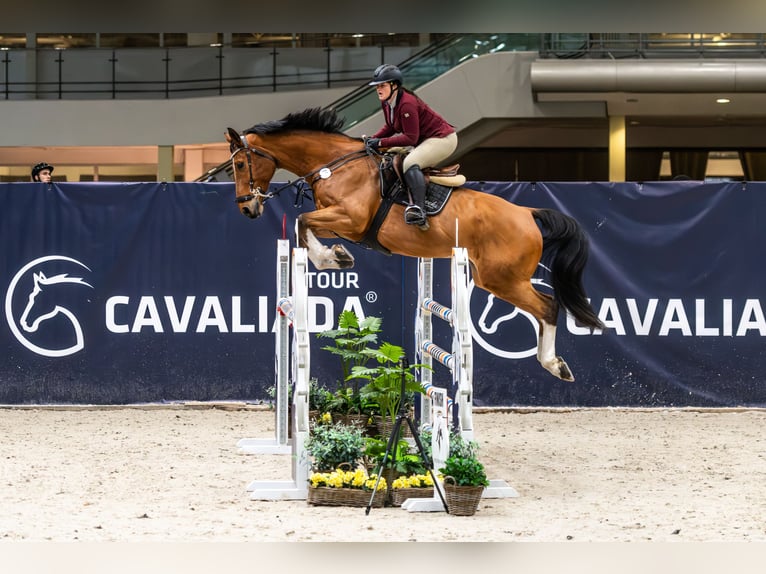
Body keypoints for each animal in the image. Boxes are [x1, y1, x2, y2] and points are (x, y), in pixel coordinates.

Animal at [225, 108, 608, 382]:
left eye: (241, 163)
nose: (247, 208)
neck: (334, 166)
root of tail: (527, 213)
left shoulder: (350, 219)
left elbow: (303, 222)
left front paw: (332, 259)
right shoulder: (341, 223)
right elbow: (306, 224)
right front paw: (338, 255)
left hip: (502, 279)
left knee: (547, 306)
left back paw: (554, 364)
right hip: (495, 278)